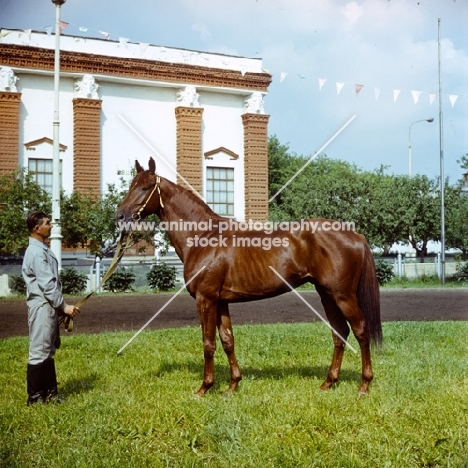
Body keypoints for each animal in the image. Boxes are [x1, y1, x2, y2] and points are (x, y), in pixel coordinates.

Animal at [115, 159, 382, 396]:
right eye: (131, 184)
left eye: (146, 187)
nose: (120, 216)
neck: (203, 237)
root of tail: (356, 235)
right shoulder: (221, 301)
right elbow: (227, 340)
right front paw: (232, 386)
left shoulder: (206, 299)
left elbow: (208, 343)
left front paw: (204, 388)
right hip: (327, 294)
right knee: (340, 333)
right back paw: (328, 382)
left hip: (343, 295)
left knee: (360, 330)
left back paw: (364, 385)